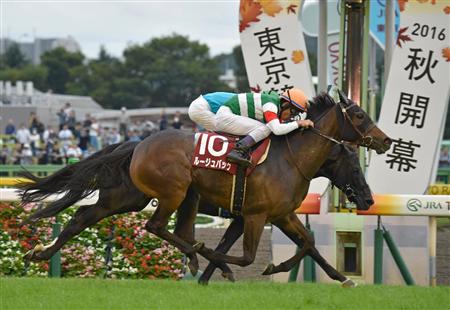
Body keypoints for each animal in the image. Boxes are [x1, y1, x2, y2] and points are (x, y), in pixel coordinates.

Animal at [128, 91, 388, 274]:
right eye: (360, 115)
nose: (386, 141)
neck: (291, 159)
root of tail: (139, 146)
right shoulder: (254, 215)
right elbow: (245, 257)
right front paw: (216, 260)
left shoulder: (282, 214)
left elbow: (309, 242)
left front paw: (279, 267)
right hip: (173, 193)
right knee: (155, 226)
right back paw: (194, 253)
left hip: (188, 196)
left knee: (177, 231)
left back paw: (193, 257)